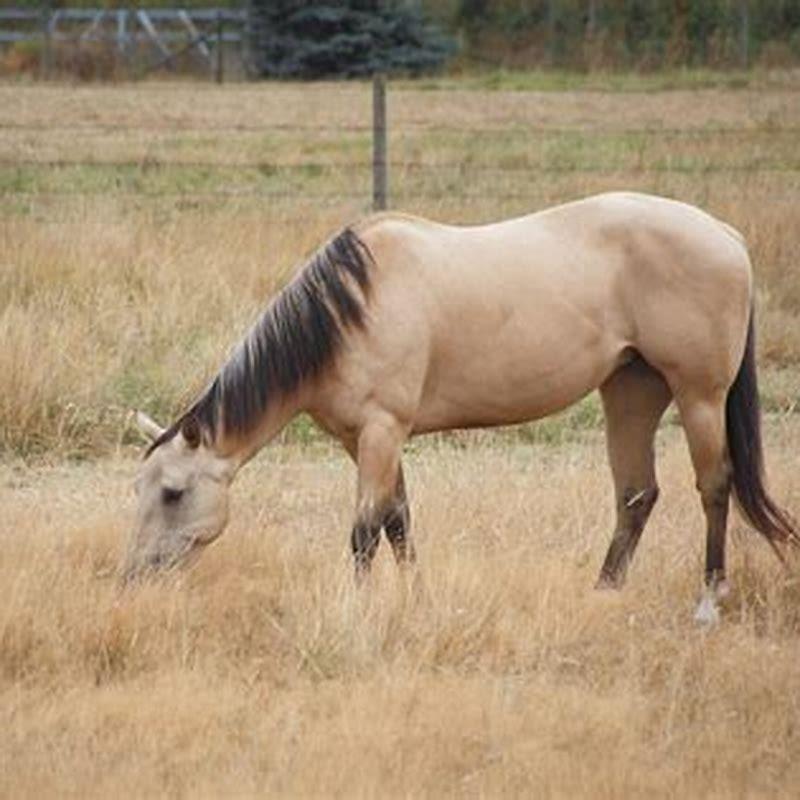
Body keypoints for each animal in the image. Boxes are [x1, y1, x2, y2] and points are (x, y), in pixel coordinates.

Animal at [125, 191, 797, 623]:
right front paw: (418, 603)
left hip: (700, 396)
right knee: (636, 495)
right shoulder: (363, 440)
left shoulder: (382, 430)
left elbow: (365, 530)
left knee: (714, 486)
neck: (347, 313)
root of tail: (726, 236)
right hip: (631, 390)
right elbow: (399, 520)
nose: (134, 578)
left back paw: (708, 603)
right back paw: (603, 594)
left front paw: (357, 611)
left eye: (174, 493)